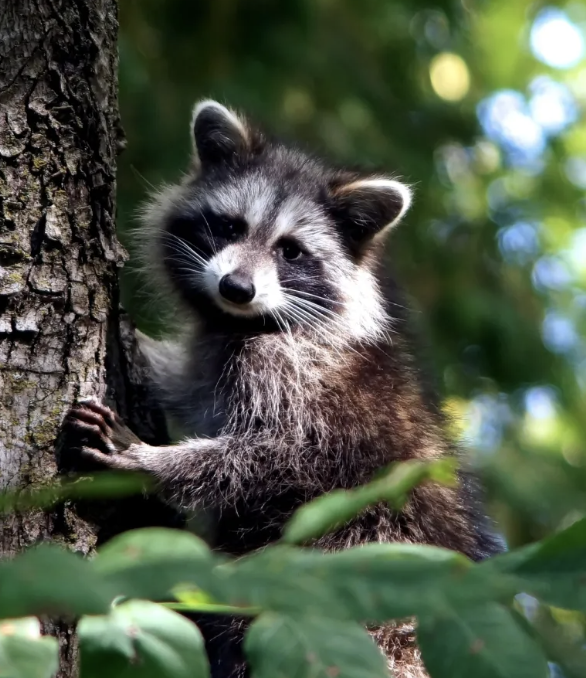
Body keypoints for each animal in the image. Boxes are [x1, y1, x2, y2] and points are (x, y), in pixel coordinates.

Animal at [63, 100, 503, 678]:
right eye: (230, 225)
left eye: (291, 252)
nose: (236, 288)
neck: (242, 323)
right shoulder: (218, 354)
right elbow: (186, 382)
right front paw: (144, 347)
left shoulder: (297, 376)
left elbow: (281, 456)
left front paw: (149, 461)